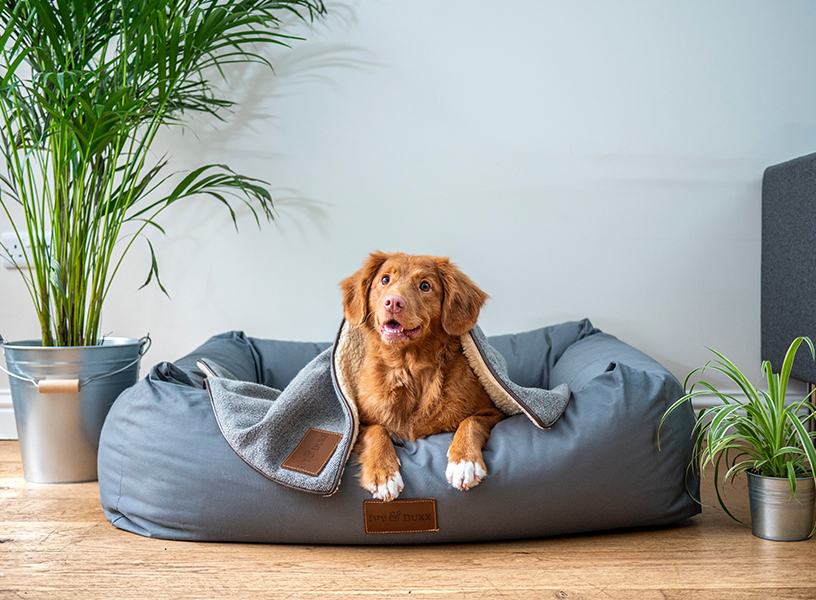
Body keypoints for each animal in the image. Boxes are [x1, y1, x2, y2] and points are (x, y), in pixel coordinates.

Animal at [338, 250, 504, 502]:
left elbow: (470, 421)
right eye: (385, 280)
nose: (393, 302)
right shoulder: (358, 423)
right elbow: (377, 431)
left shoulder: (494, 412)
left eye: (425, 286)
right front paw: (384, 474)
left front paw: (464, 462)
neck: (408, 367)